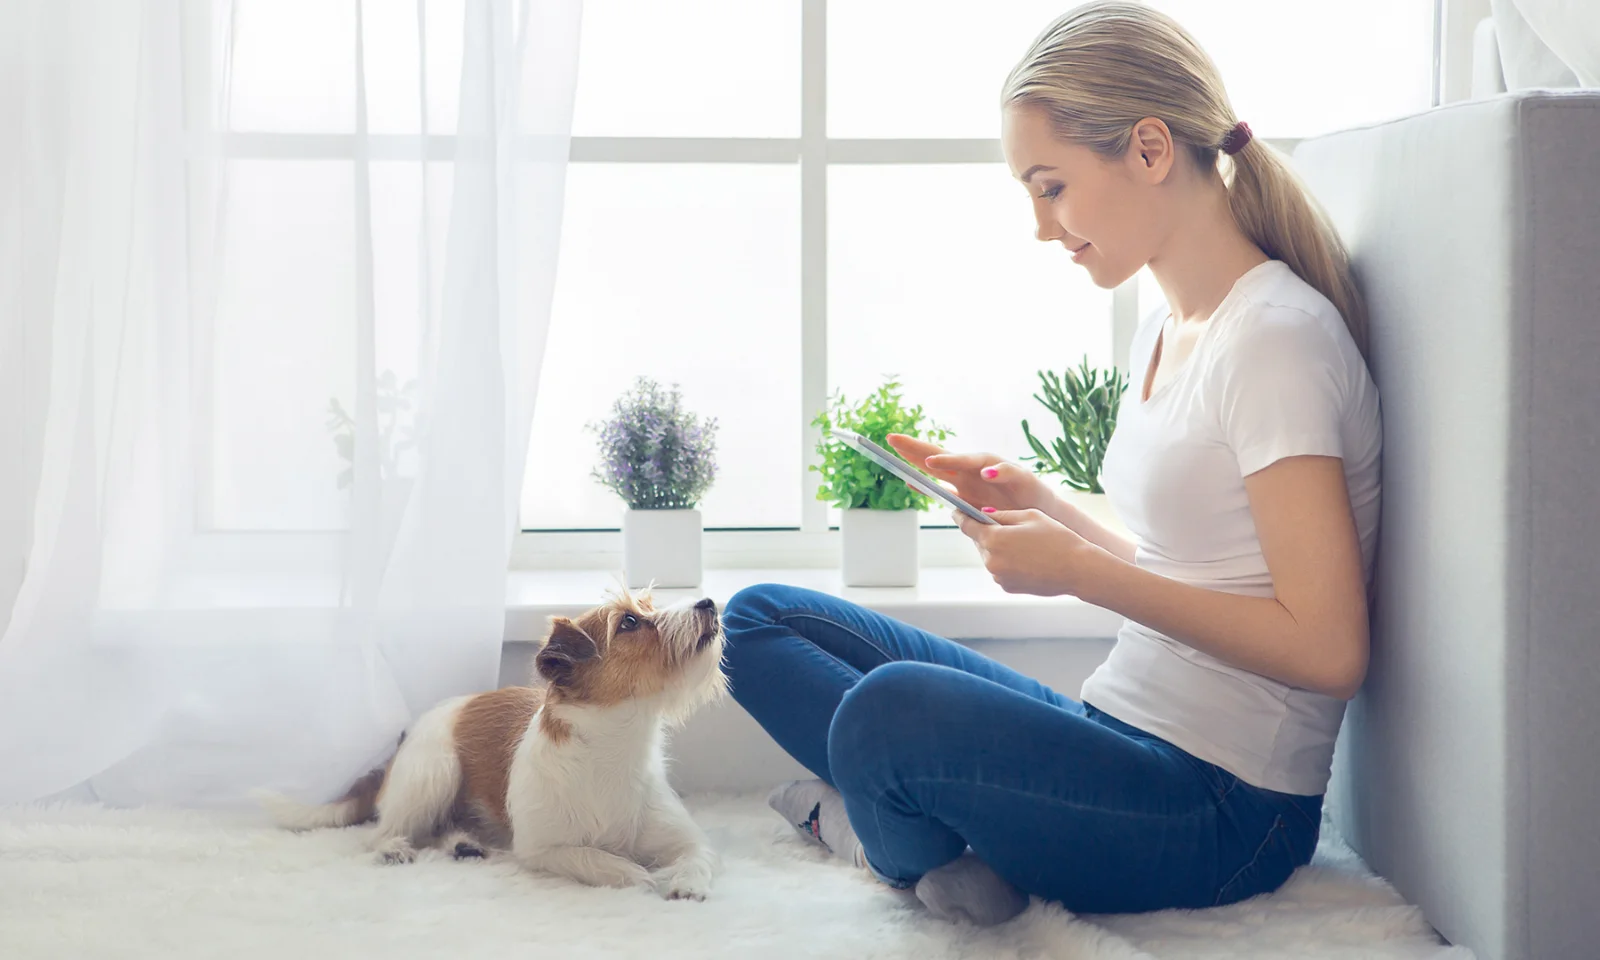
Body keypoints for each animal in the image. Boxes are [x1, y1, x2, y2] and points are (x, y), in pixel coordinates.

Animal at [260, 592, 726, 902]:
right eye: (629, 622)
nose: (708, 603)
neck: (615, 748)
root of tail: (405, 740)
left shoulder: (685, 837)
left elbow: (696, 854)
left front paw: (686, 882)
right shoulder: (543, 850)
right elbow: (602, 861)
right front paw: (638, 875)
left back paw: (463, 843)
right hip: (435, 773)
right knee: (381, 832)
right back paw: (396, 848)